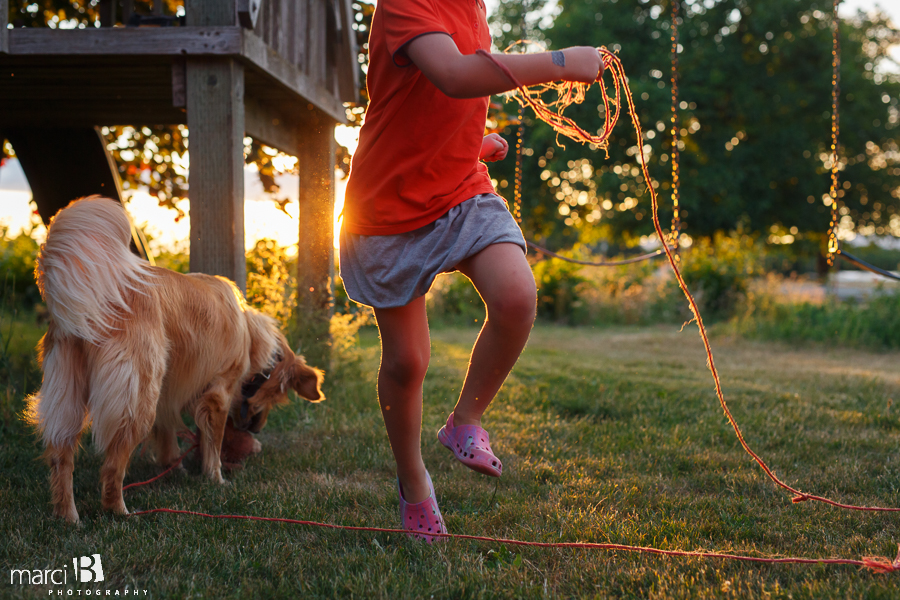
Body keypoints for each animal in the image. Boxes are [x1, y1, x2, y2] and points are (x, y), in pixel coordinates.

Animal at [26, 196, 326, 520]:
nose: (256, 429)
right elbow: (213, 441)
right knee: (112, 466)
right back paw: (119, 510)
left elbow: (168, 430)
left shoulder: (168, 389)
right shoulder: (218, 393)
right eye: (277, 398)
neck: (249, 331)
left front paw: (174, 466)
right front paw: (216, 478)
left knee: (62, 457)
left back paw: (68, 517)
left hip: (68, 396)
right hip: (136, 398)